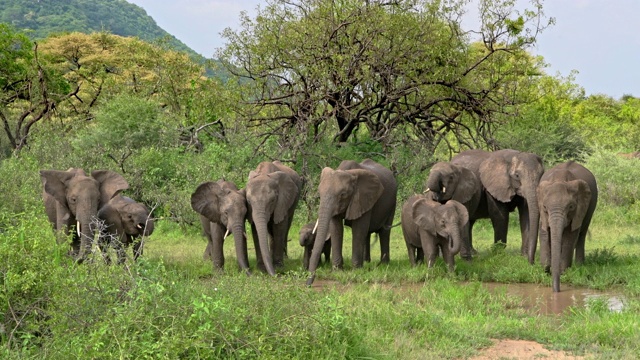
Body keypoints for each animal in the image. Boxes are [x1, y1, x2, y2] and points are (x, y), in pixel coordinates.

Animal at [536, 160, 596, 292]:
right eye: (545, 207)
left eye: (571, 207)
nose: (556, 291)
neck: (560, 179)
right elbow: (544, 232)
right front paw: (546, 269)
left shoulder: (579, 209)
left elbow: (570, 236)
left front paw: (562, 272)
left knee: (582, 234)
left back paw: (579, 266)